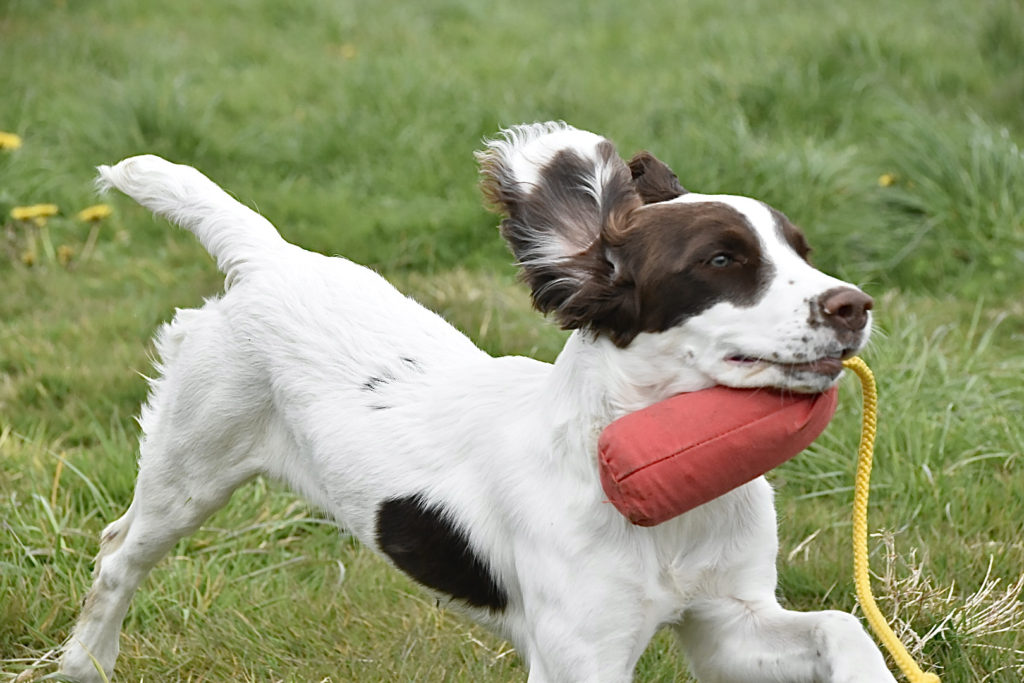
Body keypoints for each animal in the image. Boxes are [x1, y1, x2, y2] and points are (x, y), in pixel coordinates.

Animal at [59, 122, 888, 683]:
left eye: (803, 251)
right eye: (721, 260)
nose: (854, 305)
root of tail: (271, 257)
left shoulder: (727, 623)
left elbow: (840, 624)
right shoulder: (580, 654)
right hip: (191, 464)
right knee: (118, 552)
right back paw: (84, 662)